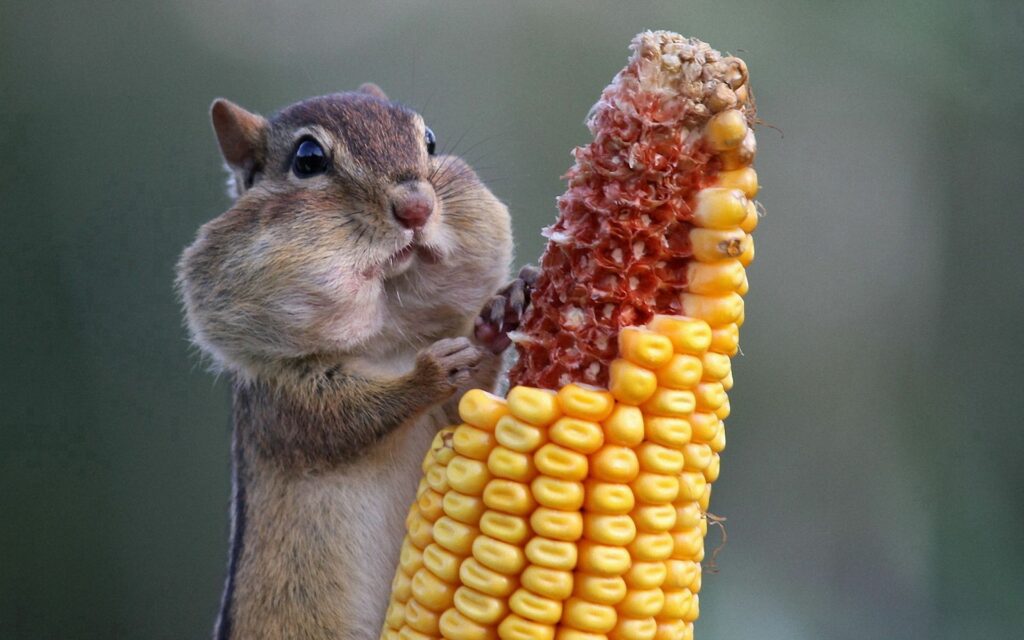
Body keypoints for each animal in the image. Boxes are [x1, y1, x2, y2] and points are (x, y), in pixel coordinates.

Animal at [176, 83, 536, 640]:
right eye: (308, 159)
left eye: (430, 141)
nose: (416, 206)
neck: (386, 342)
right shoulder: (282, 402)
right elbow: (344, 420)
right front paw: (427, 374)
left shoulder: (447, 415)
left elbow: (465, 403)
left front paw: (502, 310)